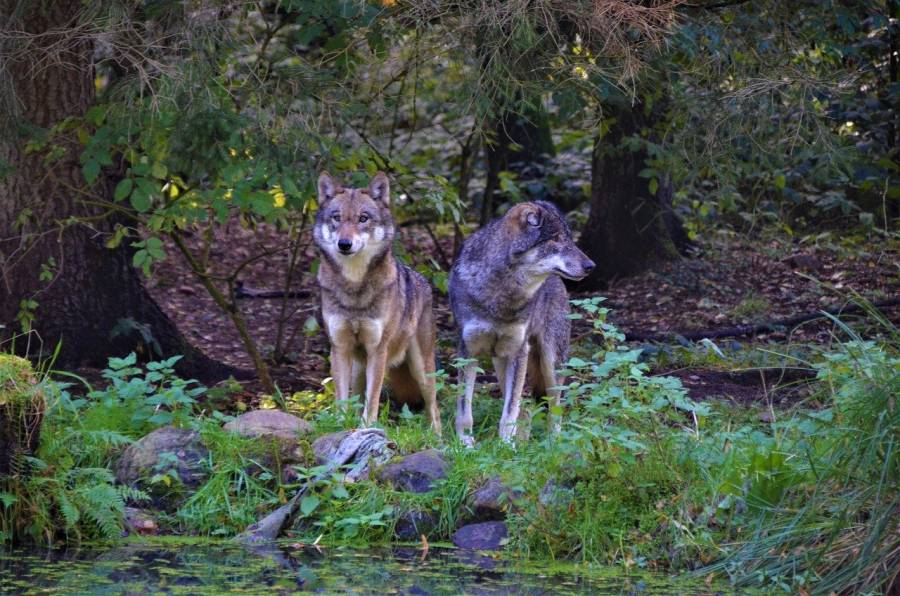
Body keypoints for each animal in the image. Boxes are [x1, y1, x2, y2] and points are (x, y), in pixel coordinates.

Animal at [312, 170, 442, 436]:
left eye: (363, 218)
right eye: (337, 218)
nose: (344, 244)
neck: (354, 287)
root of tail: (423, 280)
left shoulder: (378, 350)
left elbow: (373, 399)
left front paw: (367, 427)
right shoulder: (339, 348)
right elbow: (342, 398)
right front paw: (340, 425)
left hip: (421, 369)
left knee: (435, 409)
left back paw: (439, 439)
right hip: (357, 368)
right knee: (358, 395)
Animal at [454, 200, 596, 442]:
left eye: (569, 238)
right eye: (555, 239)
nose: (591, 266)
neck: (501, 292)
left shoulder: (519, 351)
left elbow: (510, 411)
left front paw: (505, 445)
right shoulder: (468, 352)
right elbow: (466, 409)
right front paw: (465, 443)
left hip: (551, 362)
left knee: (554, 409)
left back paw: (552, 443)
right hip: (502, 362)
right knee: (525, 407)